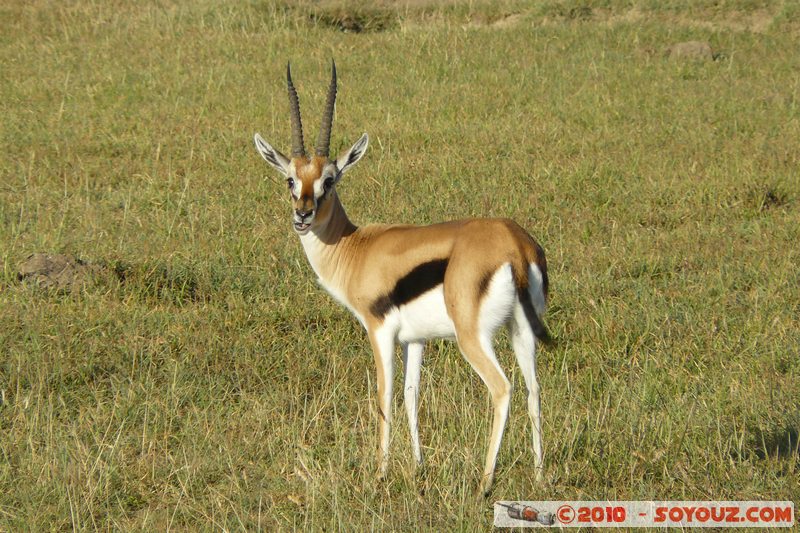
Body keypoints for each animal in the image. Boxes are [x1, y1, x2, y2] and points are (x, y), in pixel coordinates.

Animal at [254, 61, 552, 496]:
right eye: (290, 179)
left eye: (330, 180)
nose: (303, 215)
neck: (357, 248)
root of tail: (514, 245)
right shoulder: (416, 339)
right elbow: (412, 394)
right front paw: (417, 467)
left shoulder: (379, 330)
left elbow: (386, 392)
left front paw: (380, 472)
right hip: (521, 330)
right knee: (533, 389)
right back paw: (540, 475)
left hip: (472, 338)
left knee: (503, 388)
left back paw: (485, 481)